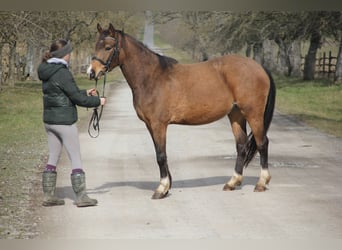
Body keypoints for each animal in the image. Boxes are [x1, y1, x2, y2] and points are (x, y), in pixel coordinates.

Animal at [88, 23, 276, 199]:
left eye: (108, 47)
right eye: (96, 45)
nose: (91, 72)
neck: (152, 78)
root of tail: (259, 67)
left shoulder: (159, 125)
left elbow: (161, 155)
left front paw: (161, 189)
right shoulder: (150, 125)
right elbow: (160, 153)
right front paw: (167, 186)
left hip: (253, 114)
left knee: (262, 143)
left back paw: (261, 183)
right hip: (236, 114)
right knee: (241, 145)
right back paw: (232, 182)